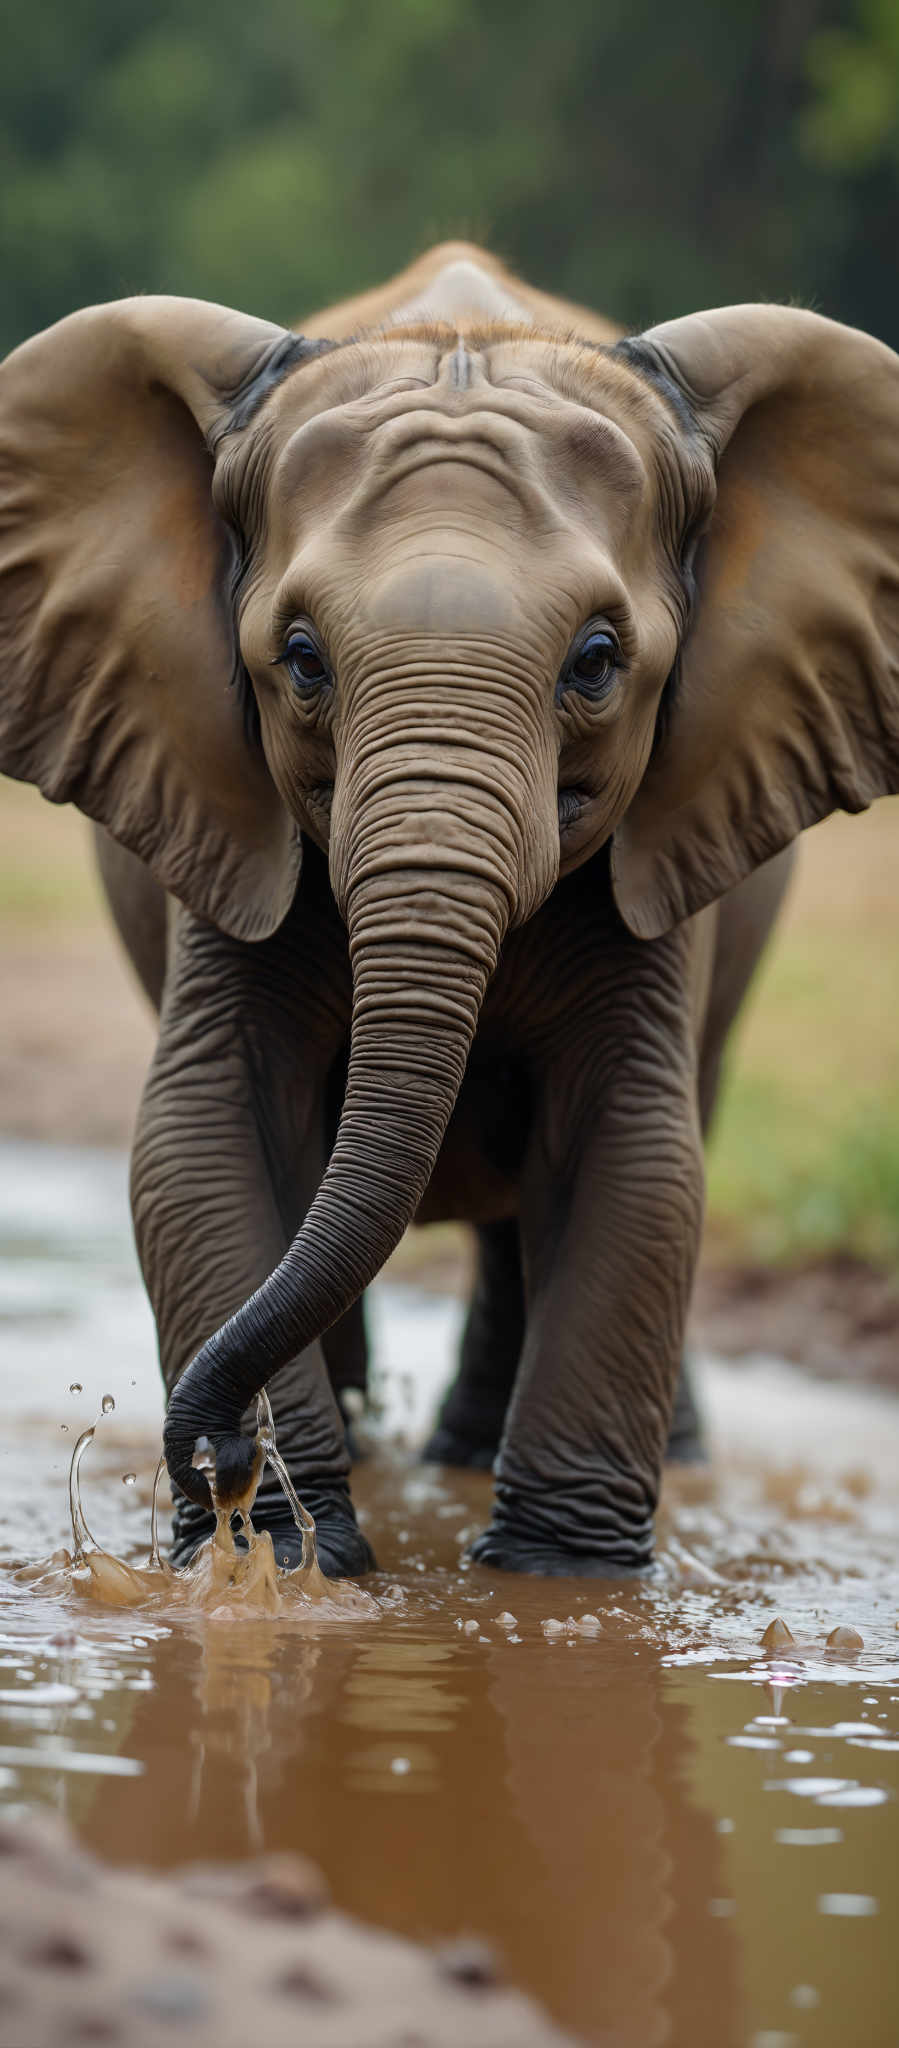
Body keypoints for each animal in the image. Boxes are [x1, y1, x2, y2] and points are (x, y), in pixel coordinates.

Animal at [0, 243, 896, 1581]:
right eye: (301, 658)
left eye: (596, 660)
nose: (215, 1452)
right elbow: (203, 1128)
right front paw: (286, 1557)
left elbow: (635, 1152)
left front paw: (558, 1583)